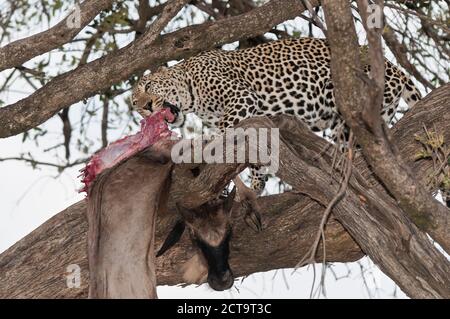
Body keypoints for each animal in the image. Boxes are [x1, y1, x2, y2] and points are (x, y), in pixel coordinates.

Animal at [130, 37, 422, 195]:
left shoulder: (242, 98)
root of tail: (396, 69)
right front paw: (257, 183)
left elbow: (224, 130)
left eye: (148, 87)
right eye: (135, 104)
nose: (147, 107)